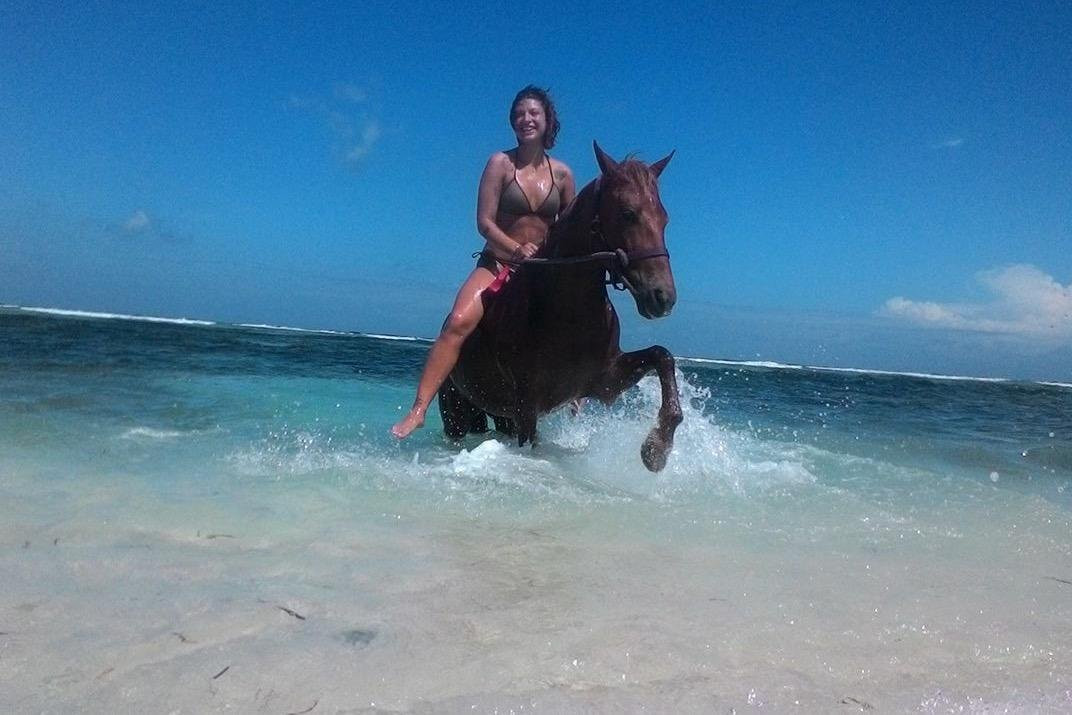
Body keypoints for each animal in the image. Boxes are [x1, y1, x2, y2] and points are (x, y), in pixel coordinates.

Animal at [437, 141, 682, 472]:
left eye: (664, 219)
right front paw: (657, 447)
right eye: (628, 213)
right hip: (458, 415)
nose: (663, 297)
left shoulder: (604, 382)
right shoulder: (527, 405)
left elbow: (662, 356)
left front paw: (657, 448)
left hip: (499, 414)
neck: (568, 312)